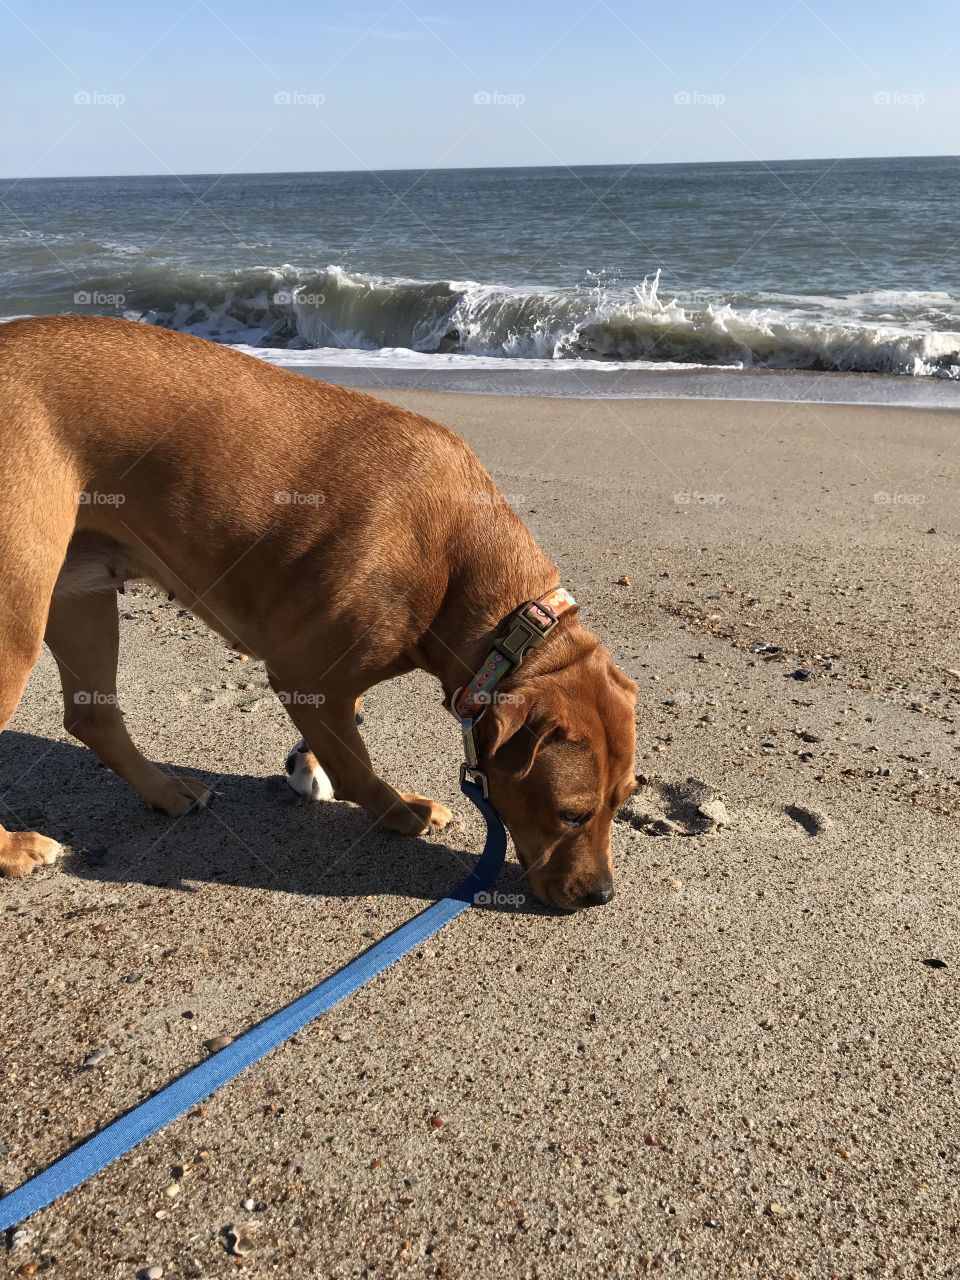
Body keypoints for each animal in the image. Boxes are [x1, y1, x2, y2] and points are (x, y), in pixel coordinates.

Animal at [0, 313, 640, 906]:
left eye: (623, 801)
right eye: (571, 813)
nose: (602, 895)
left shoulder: (329, 678)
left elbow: (342, 732)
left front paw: (312, 765)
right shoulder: (303, 671)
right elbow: (356, 766)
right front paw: (397, 811)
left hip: (79, 593)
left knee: (93, 717)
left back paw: (163, 792)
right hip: (17, 620)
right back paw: (13, 850)